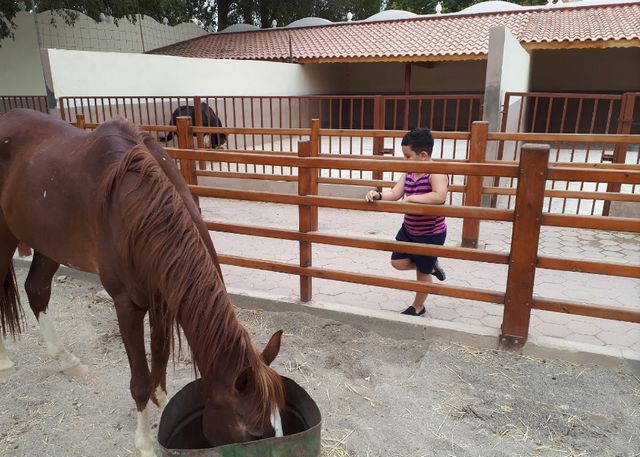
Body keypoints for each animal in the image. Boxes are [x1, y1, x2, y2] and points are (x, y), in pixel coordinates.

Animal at [0, 108, 284, 454]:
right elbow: (139, 379)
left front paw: (161, 400)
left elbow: (159, 354)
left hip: (47, 243)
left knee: (37, 289)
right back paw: (4, 362)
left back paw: (66, 358)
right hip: (6, 237)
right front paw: (145, 440)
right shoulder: (128, 305)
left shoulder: (163, 296)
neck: (140, 210)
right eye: (255, 434)